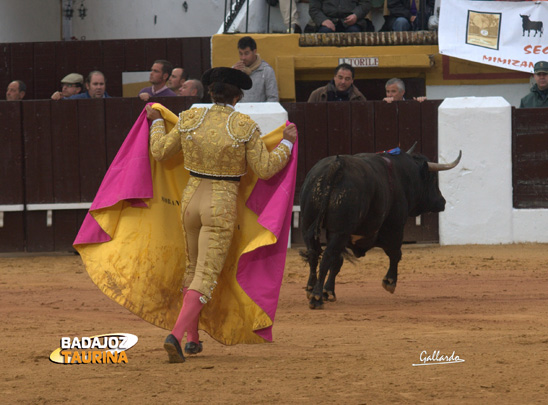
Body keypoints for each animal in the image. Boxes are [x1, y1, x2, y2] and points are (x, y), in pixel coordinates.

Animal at [300, 148, 462, 310]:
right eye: (433, 179)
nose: (442, 201)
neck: (401, 175)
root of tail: (336, 166)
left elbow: (337, 261)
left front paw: (329, 291)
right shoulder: (395, 226)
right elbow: (395, 253)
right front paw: (390, 281)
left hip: (309, 225)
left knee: (314, 254)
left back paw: (311, 289)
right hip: (340, 232)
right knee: (326, 257)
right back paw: (316, 298)